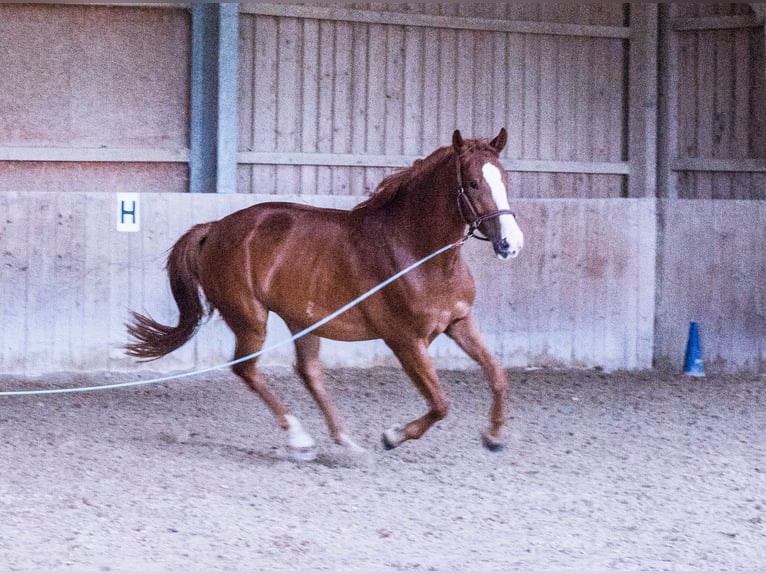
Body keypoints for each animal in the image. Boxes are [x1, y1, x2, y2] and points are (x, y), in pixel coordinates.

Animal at [127, 128, 520, 462]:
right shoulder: (405, 340)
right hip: (250, 318)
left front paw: (494, 437)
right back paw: (300, 440)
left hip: (302, 319)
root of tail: (215, 228)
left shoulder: (458, 322)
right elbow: (440, 403)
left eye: (505, 179)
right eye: (473, 183)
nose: (510, 245)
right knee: (246, 368)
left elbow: (498, 376)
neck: (418, 253)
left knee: (308, 372)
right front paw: (392, 436)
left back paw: (348, 443)